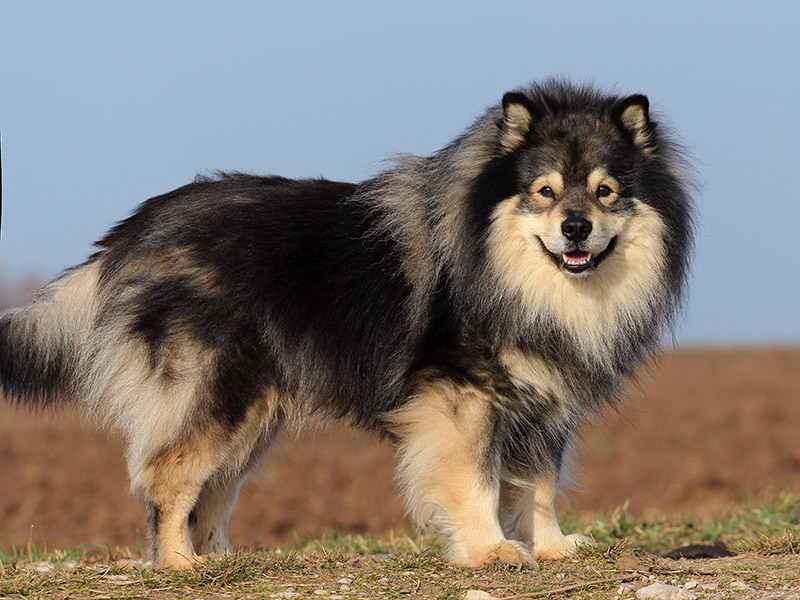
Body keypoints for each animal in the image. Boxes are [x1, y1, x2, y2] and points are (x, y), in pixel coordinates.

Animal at [0, 78, 692, 568]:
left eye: (604, 192)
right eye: (545, 192)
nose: (575, 228)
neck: (512, 277)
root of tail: (131, 230)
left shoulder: (545, 401)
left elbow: (539, 486)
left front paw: (550, 546)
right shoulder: (462, 396)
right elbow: (477, 481)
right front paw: (492, 551)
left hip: (256, 414)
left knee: (213, 490)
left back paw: (222, 561)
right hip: (217, 392)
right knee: (168, 481)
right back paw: (178, 565)